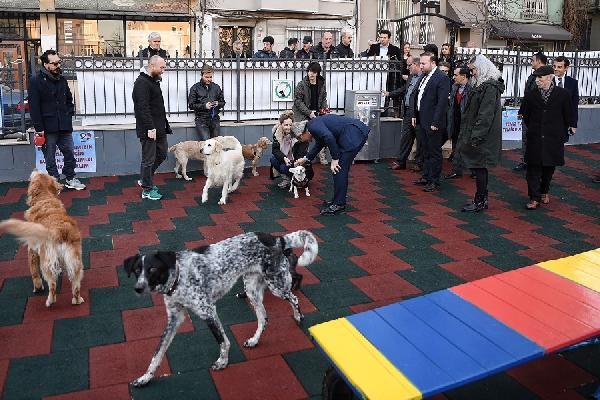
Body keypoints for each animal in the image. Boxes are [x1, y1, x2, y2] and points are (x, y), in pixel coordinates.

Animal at [0, 169, 84, 306]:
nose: (35, 169)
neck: (44, 198)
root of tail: (61, 231)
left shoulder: (32, 251)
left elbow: (34, 273)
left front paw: (38, 287)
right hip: (75, 261)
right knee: (76, 285)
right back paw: (77, 300)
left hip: (46, 263)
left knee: (52, 284)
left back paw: (50, 301)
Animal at [122, 230, 318, 386]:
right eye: (137, 270)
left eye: (153, 269)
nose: (138, 288)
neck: (179, 277)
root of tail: (276, 238)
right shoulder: (174, 319)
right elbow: (158, 352)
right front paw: (146, 377)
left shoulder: (208, 311)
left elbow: (223, 341)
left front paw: (223, 362)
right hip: (252, 290)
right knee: (263, 317)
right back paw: (254, 340)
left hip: (276, 286)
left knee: (293, 298)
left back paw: (298, 317)